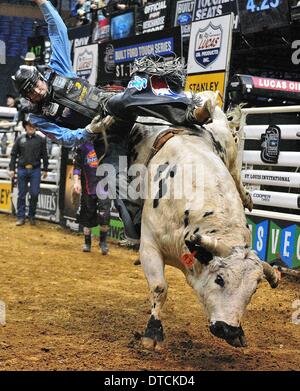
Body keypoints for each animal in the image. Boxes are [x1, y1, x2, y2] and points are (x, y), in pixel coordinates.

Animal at [127, 95, 280, 352]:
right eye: (219, 279)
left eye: (253, 290)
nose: (228, 329)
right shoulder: (149, 245)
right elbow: (159, 288)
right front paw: (152, 333)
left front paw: (240, 334)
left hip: (228, 144)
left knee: (236, 170)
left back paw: (247, 196)